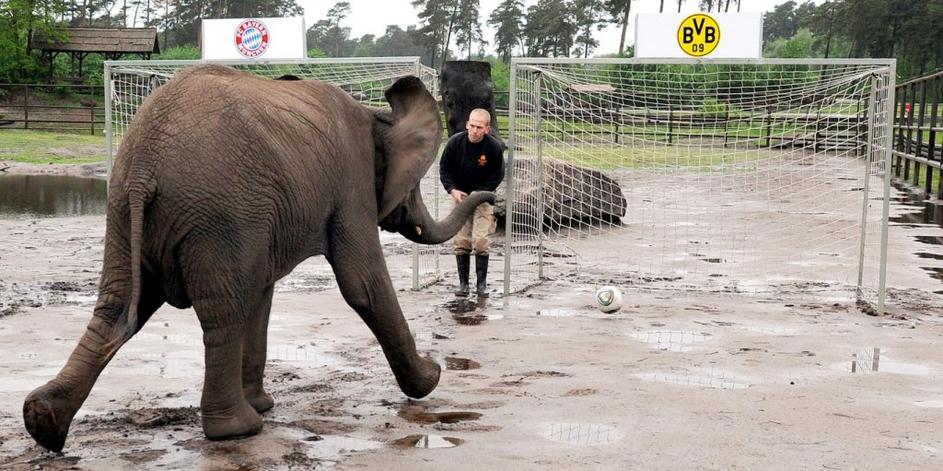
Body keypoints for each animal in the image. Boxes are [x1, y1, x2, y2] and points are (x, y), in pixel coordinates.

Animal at [20, 63, 494, 454]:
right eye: (413, 185)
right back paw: (237, 430)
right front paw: (432, 379)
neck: (378, 115)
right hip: (219, 214)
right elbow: (361, 283)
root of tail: (142, 169)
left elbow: (263, 295)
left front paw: (265, 403)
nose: (489, 193)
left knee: (117, 306)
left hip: (124, 210)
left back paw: (43, 422)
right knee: (223, 313)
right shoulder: (351, 184)